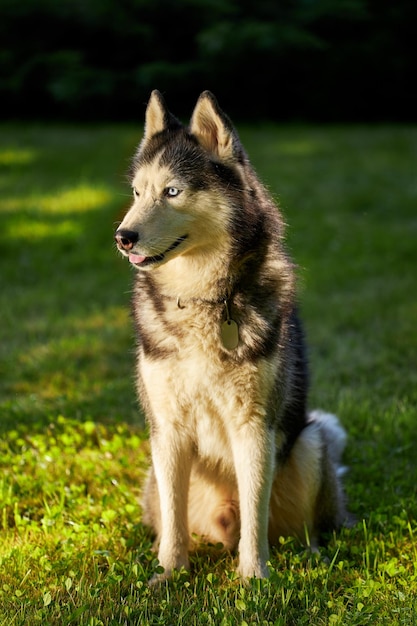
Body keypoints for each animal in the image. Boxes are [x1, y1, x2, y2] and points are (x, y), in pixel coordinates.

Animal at [114, 89, 348, 580]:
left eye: (172, 191)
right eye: (137, 192)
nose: (123, 236)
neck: (203, 300)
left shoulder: (254, 426)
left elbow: (256, 515)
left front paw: (254, 579)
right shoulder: (167, 429)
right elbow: (175, 521)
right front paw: (168, 575)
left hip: (310, 442)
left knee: (303, 527)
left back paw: (314, 554)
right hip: (154, 470)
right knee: (171, 519)